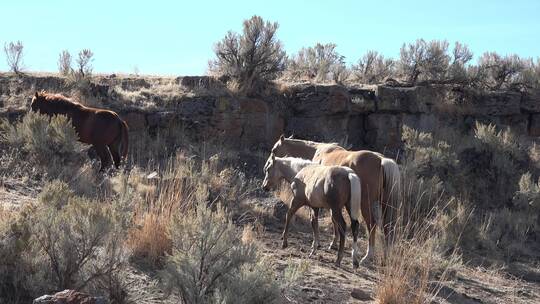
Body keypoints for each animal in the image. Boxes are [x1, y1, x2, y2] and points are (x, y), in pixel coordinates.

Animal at [270, 135, 400, 262]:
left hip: (365, 204)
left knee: (371, 224)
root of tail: (381, 160)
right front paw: (333, 243)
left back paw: (367, 256)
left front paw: (328, 244)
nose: (266, 186)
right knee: (387, 227)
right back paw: (385, 256)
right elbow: (334, 220)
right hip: (384, 203)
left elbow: (331, 221)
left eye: (274, 150)